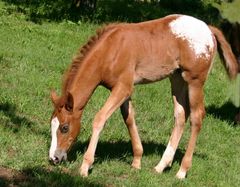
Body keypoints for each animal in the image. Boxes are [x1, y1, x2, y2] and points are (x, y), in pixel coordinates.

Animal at [49, 14, 238, 178]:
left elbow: (100, 118)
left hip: (194, 82)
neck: (110, 50)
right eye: (52, 124)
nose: (53, 158)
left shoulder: (123, 88)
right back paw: (161, 166)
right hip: (177, 78)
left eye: (64, 127)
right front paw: (137, 160)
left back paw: (182, 171)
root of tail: (208, 29)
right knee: (180, 115)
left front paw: (85, 166)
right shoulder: (122, 90)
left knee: (197, 118)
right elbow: (129, 119)